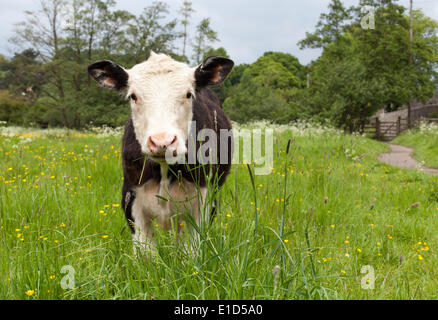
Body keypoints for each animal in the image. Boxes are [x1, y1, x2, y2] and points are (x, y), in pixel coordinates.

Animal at [87, 52, 234, 251]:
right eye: (133, 96)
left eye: (188, 94)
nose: (162, 141)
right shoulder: (131, 200)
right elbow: (146, 251)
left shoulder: (203, 202)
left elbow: (191, 250)